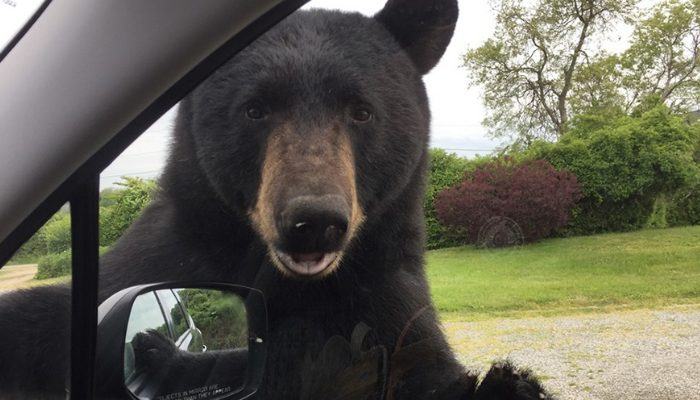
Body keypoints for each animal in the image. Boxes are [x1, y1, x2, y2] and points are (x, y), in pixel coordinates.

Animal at [0, 1, 552, 398]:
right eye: (254, 108)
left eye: (362, 110)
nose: (313, 220)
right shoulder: (162, 258)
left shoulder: (387, 296)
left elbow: (423, 366)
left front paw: (508, 384)